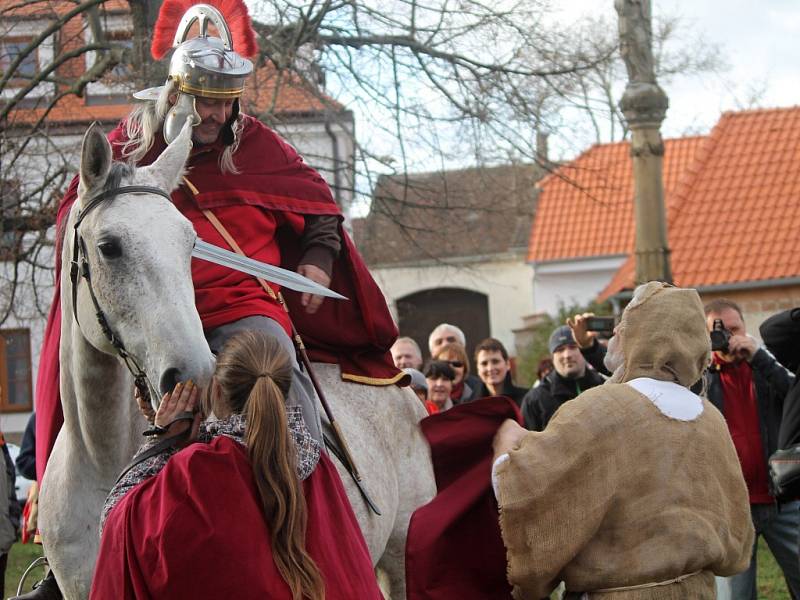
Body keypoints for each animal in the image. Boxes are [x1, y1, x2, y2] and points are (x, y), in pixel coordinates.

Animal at [37, 119, 434, 596]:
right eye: (109, 246)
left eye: (189, 243)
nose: (193, 374)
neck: (101, 460)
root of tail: (402, 383)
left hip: (402, 557)